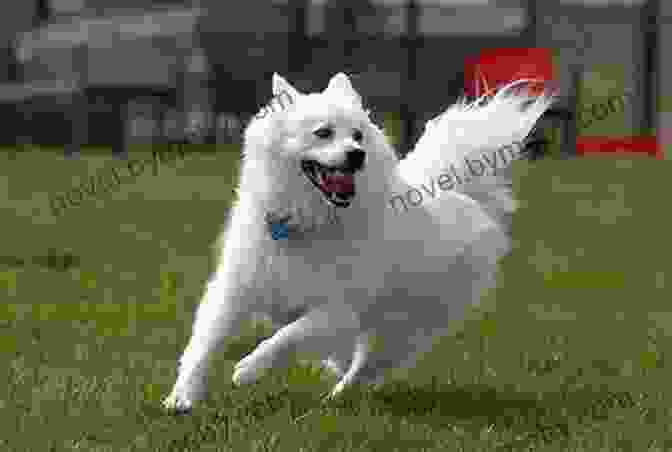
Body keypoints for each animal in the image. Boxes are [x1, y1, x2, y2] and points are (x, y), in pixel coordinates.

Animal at [163, 71, 552, 414]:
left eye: (358, 136)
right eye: (323, 133)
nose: (356, 154)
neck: (308, 221)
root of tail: (465, 197)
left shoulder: (338, 308)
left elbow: (288, 336)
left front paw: (249, 368)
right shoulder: (233, 290)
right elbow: (203, 345)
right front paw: (182, 397)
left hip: (402, 326)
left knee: (368, 364)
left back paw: (340, 394)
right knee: (346, 356)